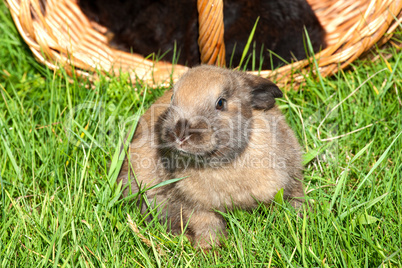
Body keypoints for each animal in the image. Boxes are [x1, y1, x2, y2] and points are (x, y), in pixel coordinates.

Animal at [118, 65, 304, 249]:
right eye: (172, 98)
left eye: (221, 103)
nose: (180, 134)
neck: (224, 162)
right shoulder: (197, 207)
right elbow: (208, 227)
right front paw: (209, 251)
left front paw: (299, 221)